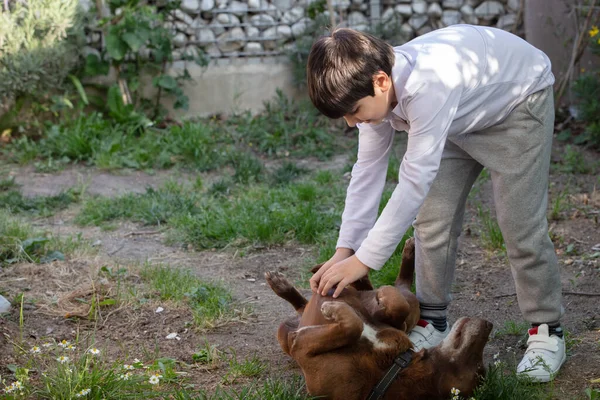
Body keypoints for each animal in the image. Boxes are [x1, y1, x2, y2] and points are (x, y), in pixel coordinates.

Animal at [268, 239, 492, 398]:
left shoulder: (301, 347)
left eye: (478, 367)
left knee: (400, 287)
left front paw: (335, 309)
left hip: (283, 334)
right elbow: (393, 307)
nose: (488, 325)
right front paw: (380, 300)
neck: (389, 370)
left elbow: (354, 325)